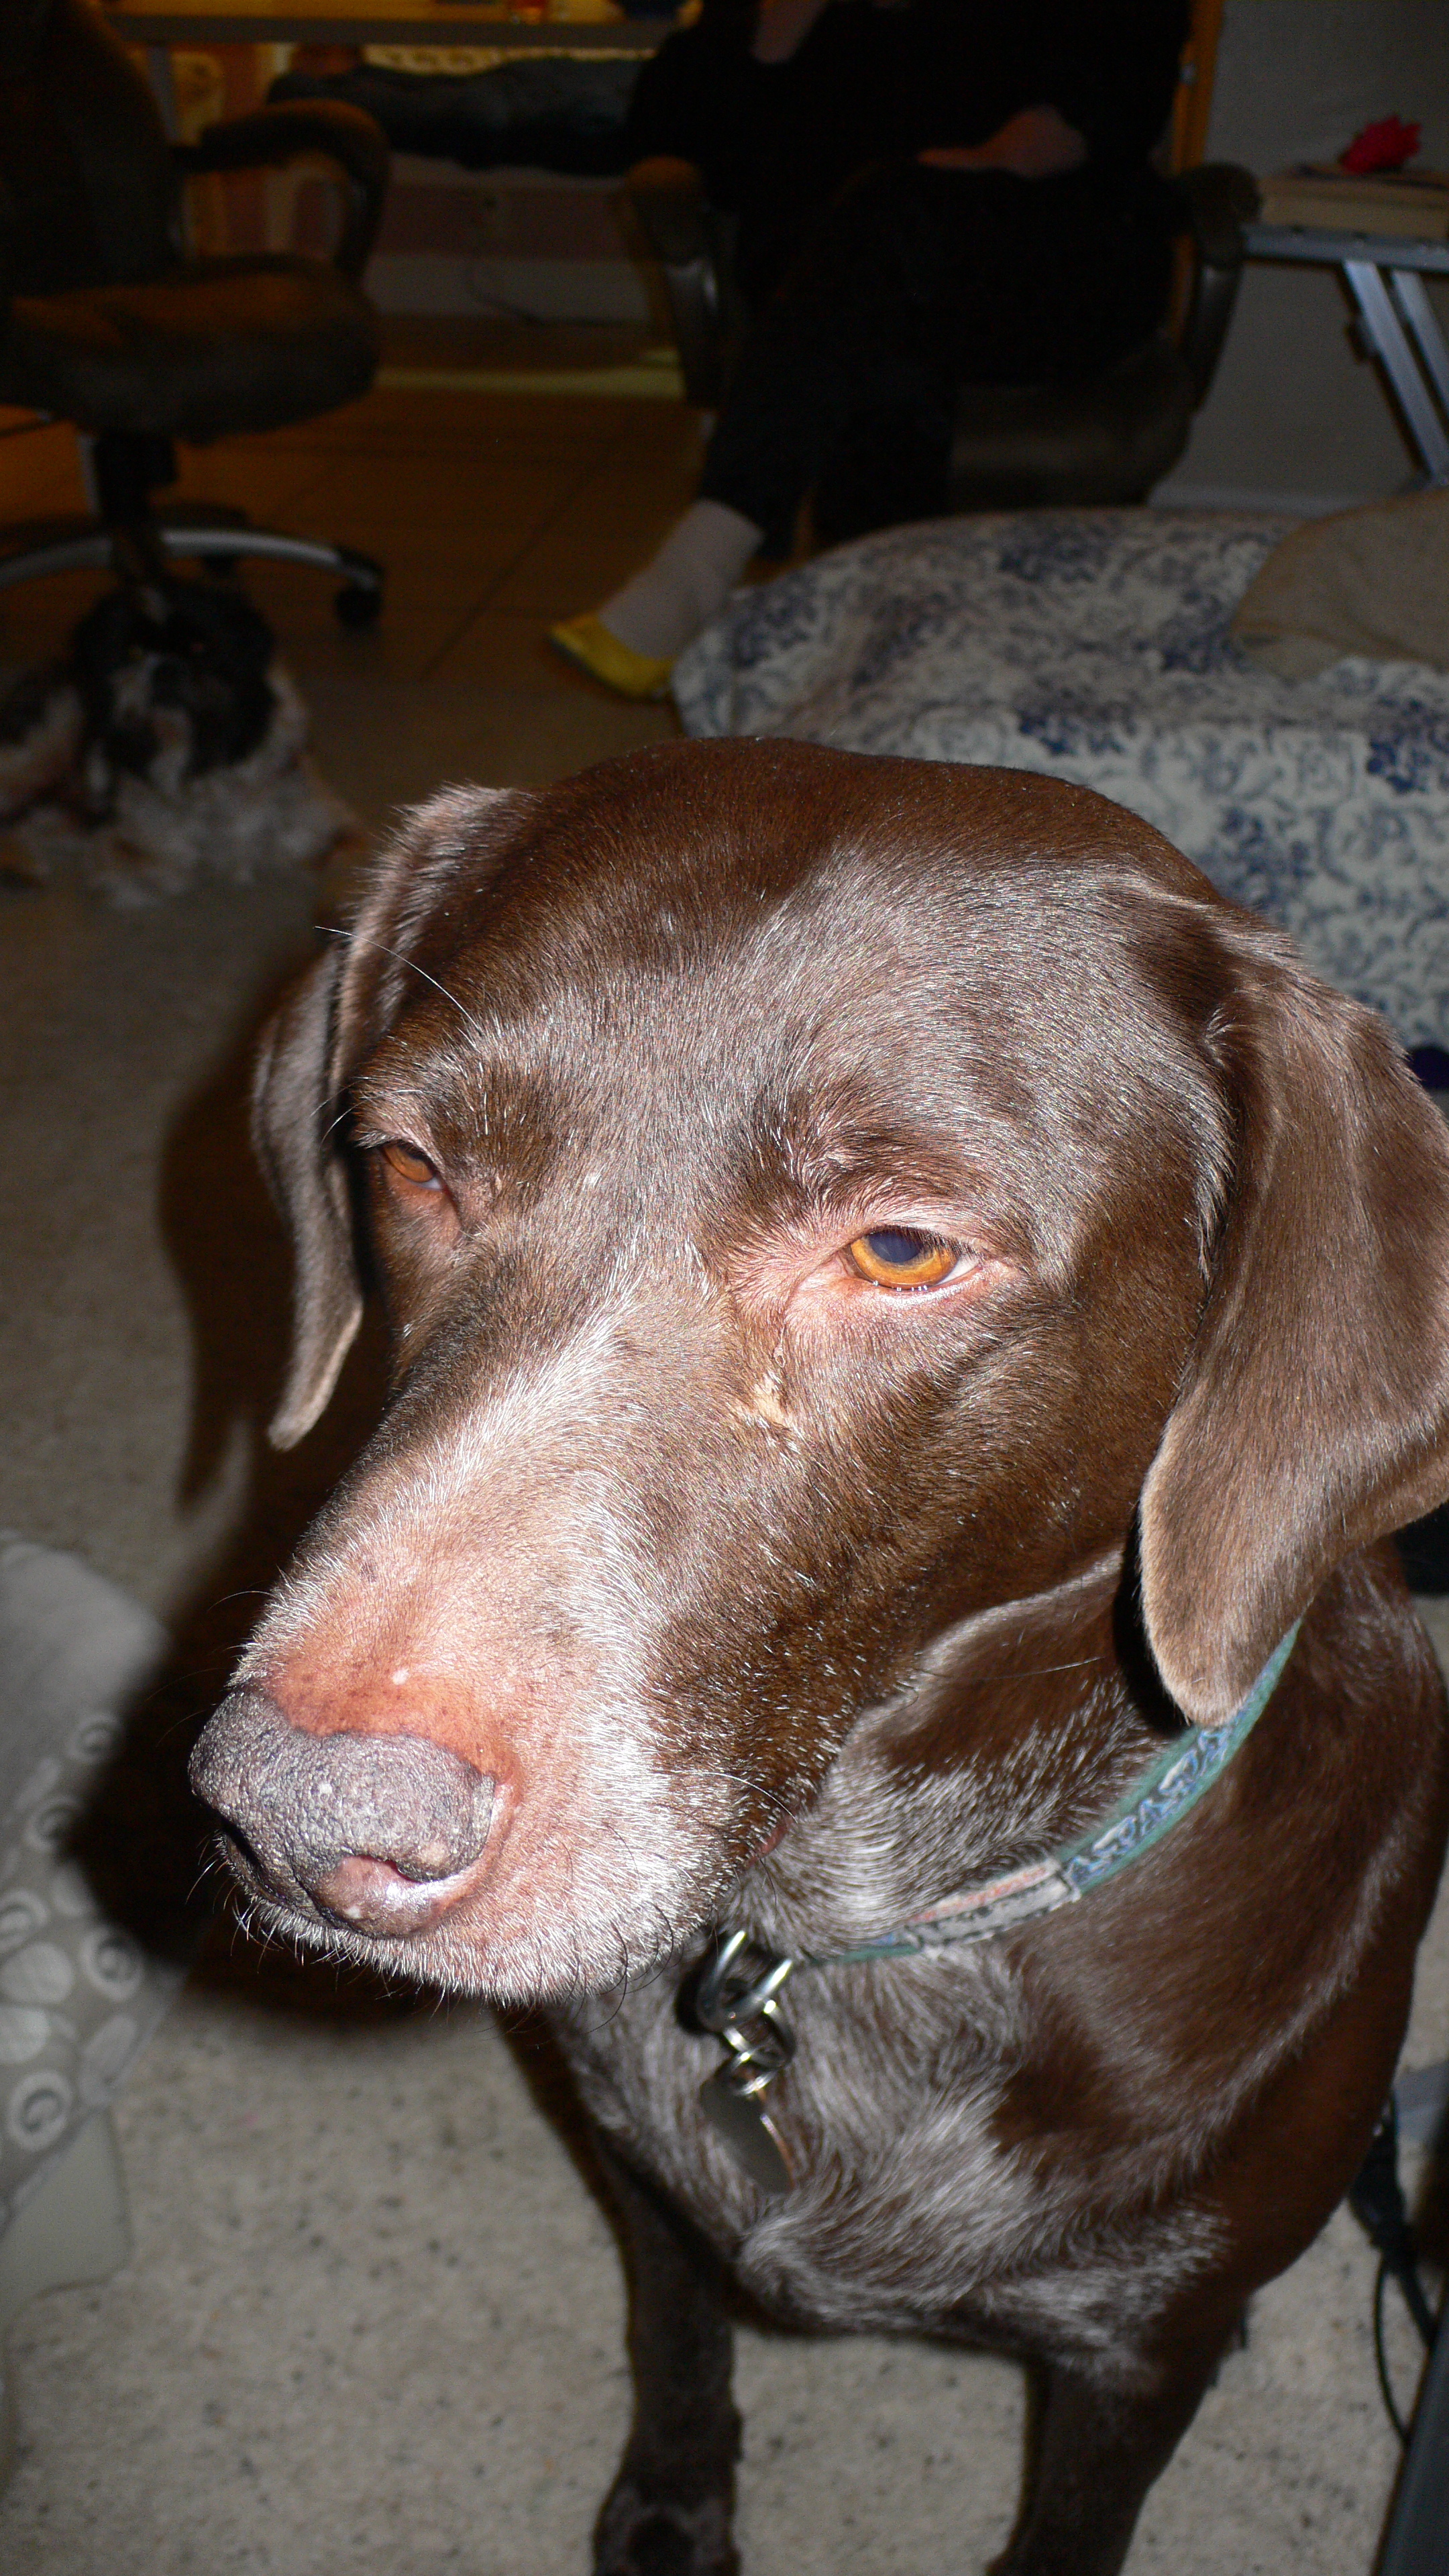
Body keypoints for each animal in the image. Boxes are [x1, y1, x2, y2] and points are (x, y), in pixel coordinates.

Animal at [190, 739, 1449, 2576]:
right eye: (411, 1161)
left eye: (901, 1248)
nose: (297, 1813)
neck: (848, 1929)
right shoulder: (650, 2188)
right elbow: (678, 2347)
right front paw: (669, 2510)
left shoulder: (1136, 2351)